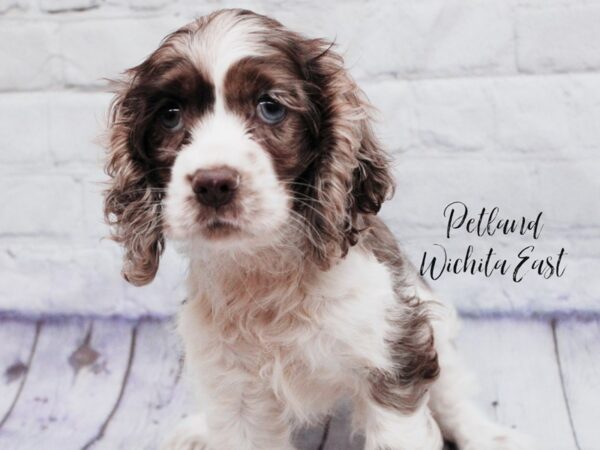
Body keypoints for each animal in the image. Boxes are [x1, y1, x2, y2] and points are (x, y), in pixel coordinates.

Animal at [102, 7, 528, 450]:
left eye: (270, 107)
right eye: (170, 115)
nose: (213, 184)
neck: (265, 271)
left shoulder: (394, 355)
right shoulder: (235, 392)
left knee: (452, 391)